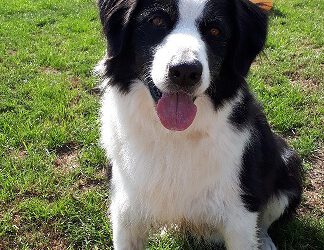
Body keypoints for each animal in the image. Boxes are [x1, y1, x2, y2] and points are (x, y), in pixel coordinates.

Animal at [95, 0, 302, 249]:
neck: (174, 136)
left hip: (288, 166)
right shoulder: (125, 211)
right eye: (156, 20)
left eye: (215, 31)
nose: (185, 72)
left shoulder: (240, 217)